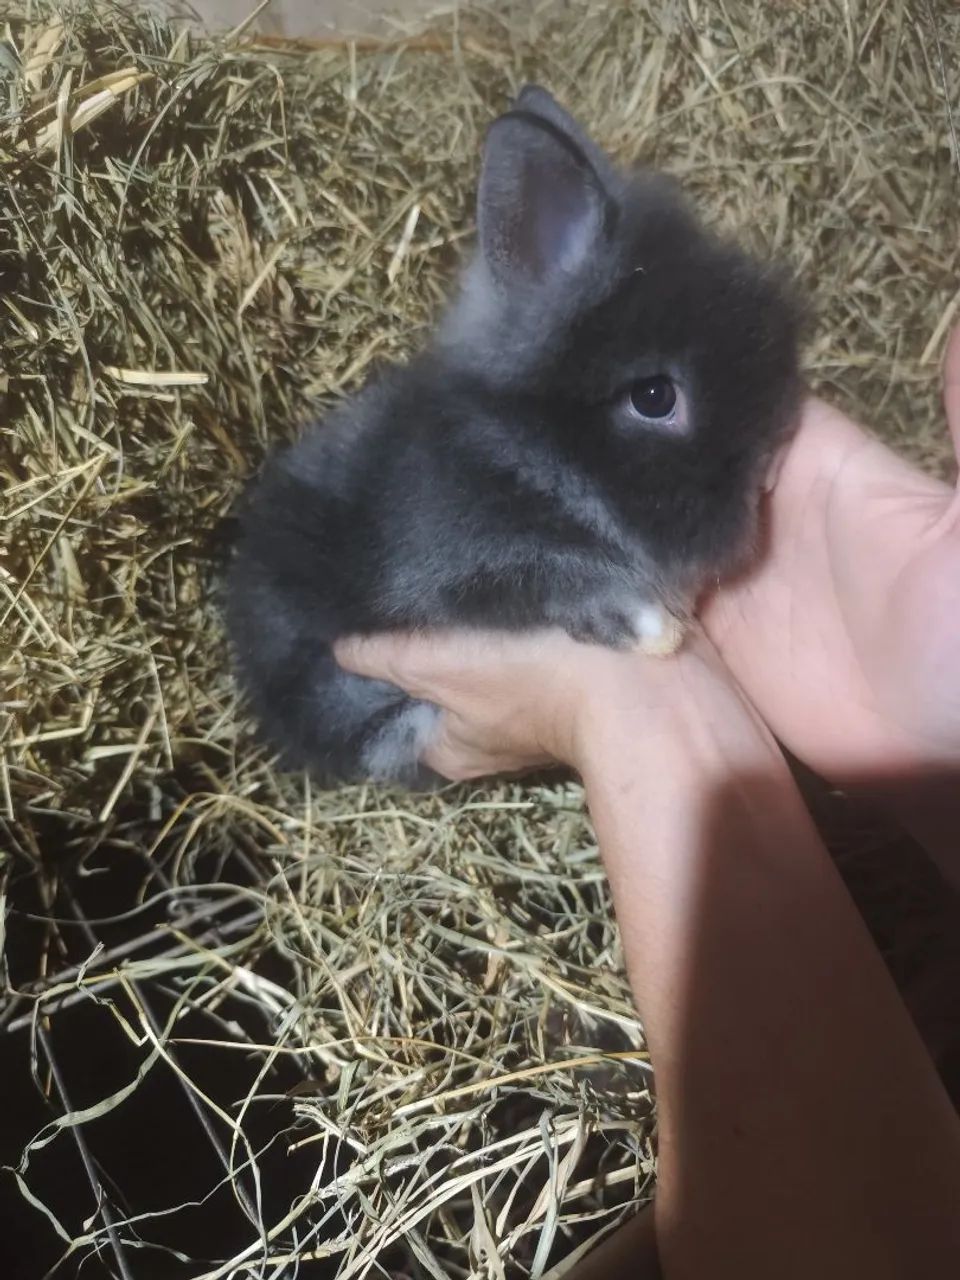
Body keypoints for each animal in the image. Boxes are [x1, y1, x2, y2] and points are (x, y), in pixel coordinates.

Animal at [225, 85, 802, 788]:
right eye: (655, 398)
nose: (770, 468)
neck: (528, 456)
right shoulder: (471, 565)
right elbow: (561, 578)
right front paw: (645, 626)